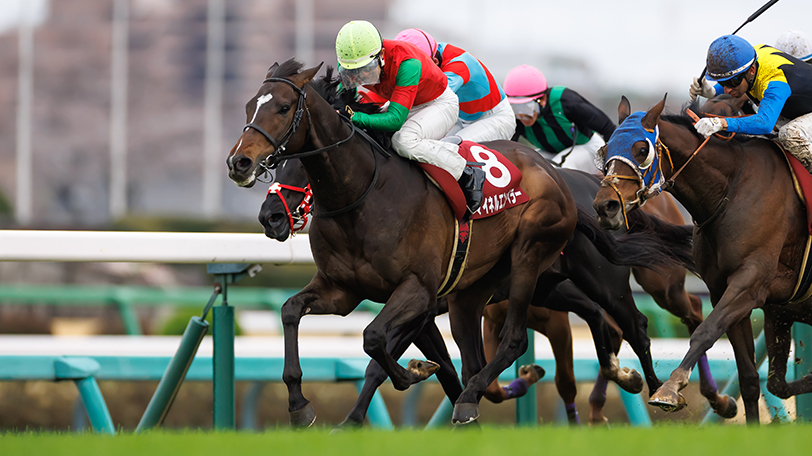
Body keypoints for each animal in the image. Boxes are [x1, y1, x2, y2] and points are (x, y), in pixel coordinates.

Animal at [592, 94, 812, 423]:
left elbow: (705, 331)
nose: (604, 206)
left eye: (641, 150)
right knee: (776, 382)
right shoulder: (732, 292)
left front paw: (670, 389)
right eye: (605, 150)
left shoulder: (749, 284)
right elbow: (752, 379)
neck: (732, 189)